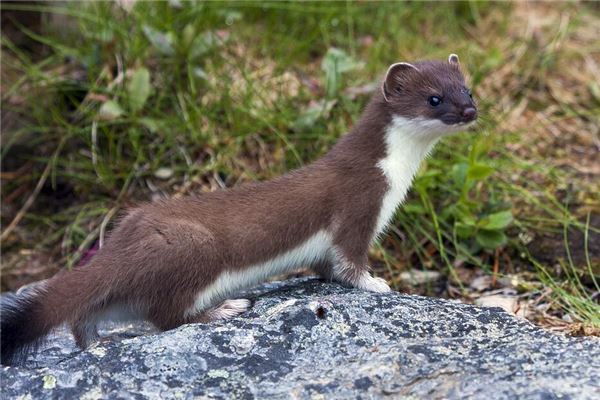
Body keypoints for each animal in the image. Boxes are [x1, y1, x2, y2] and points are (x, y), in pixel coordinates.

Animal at [1, 54, 478, 366]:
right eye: (434, 98)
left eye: (468, 88)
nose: (471, 110)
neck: (396, 177)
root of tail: (123, 239)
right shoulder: (358, 207)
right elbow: (349, 261)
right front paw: (376, 282)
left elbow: (326, 267)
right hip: (194, 249)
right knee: (166, 315)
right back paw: (225, 308)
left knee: (88, 309)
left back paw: (94, 343)